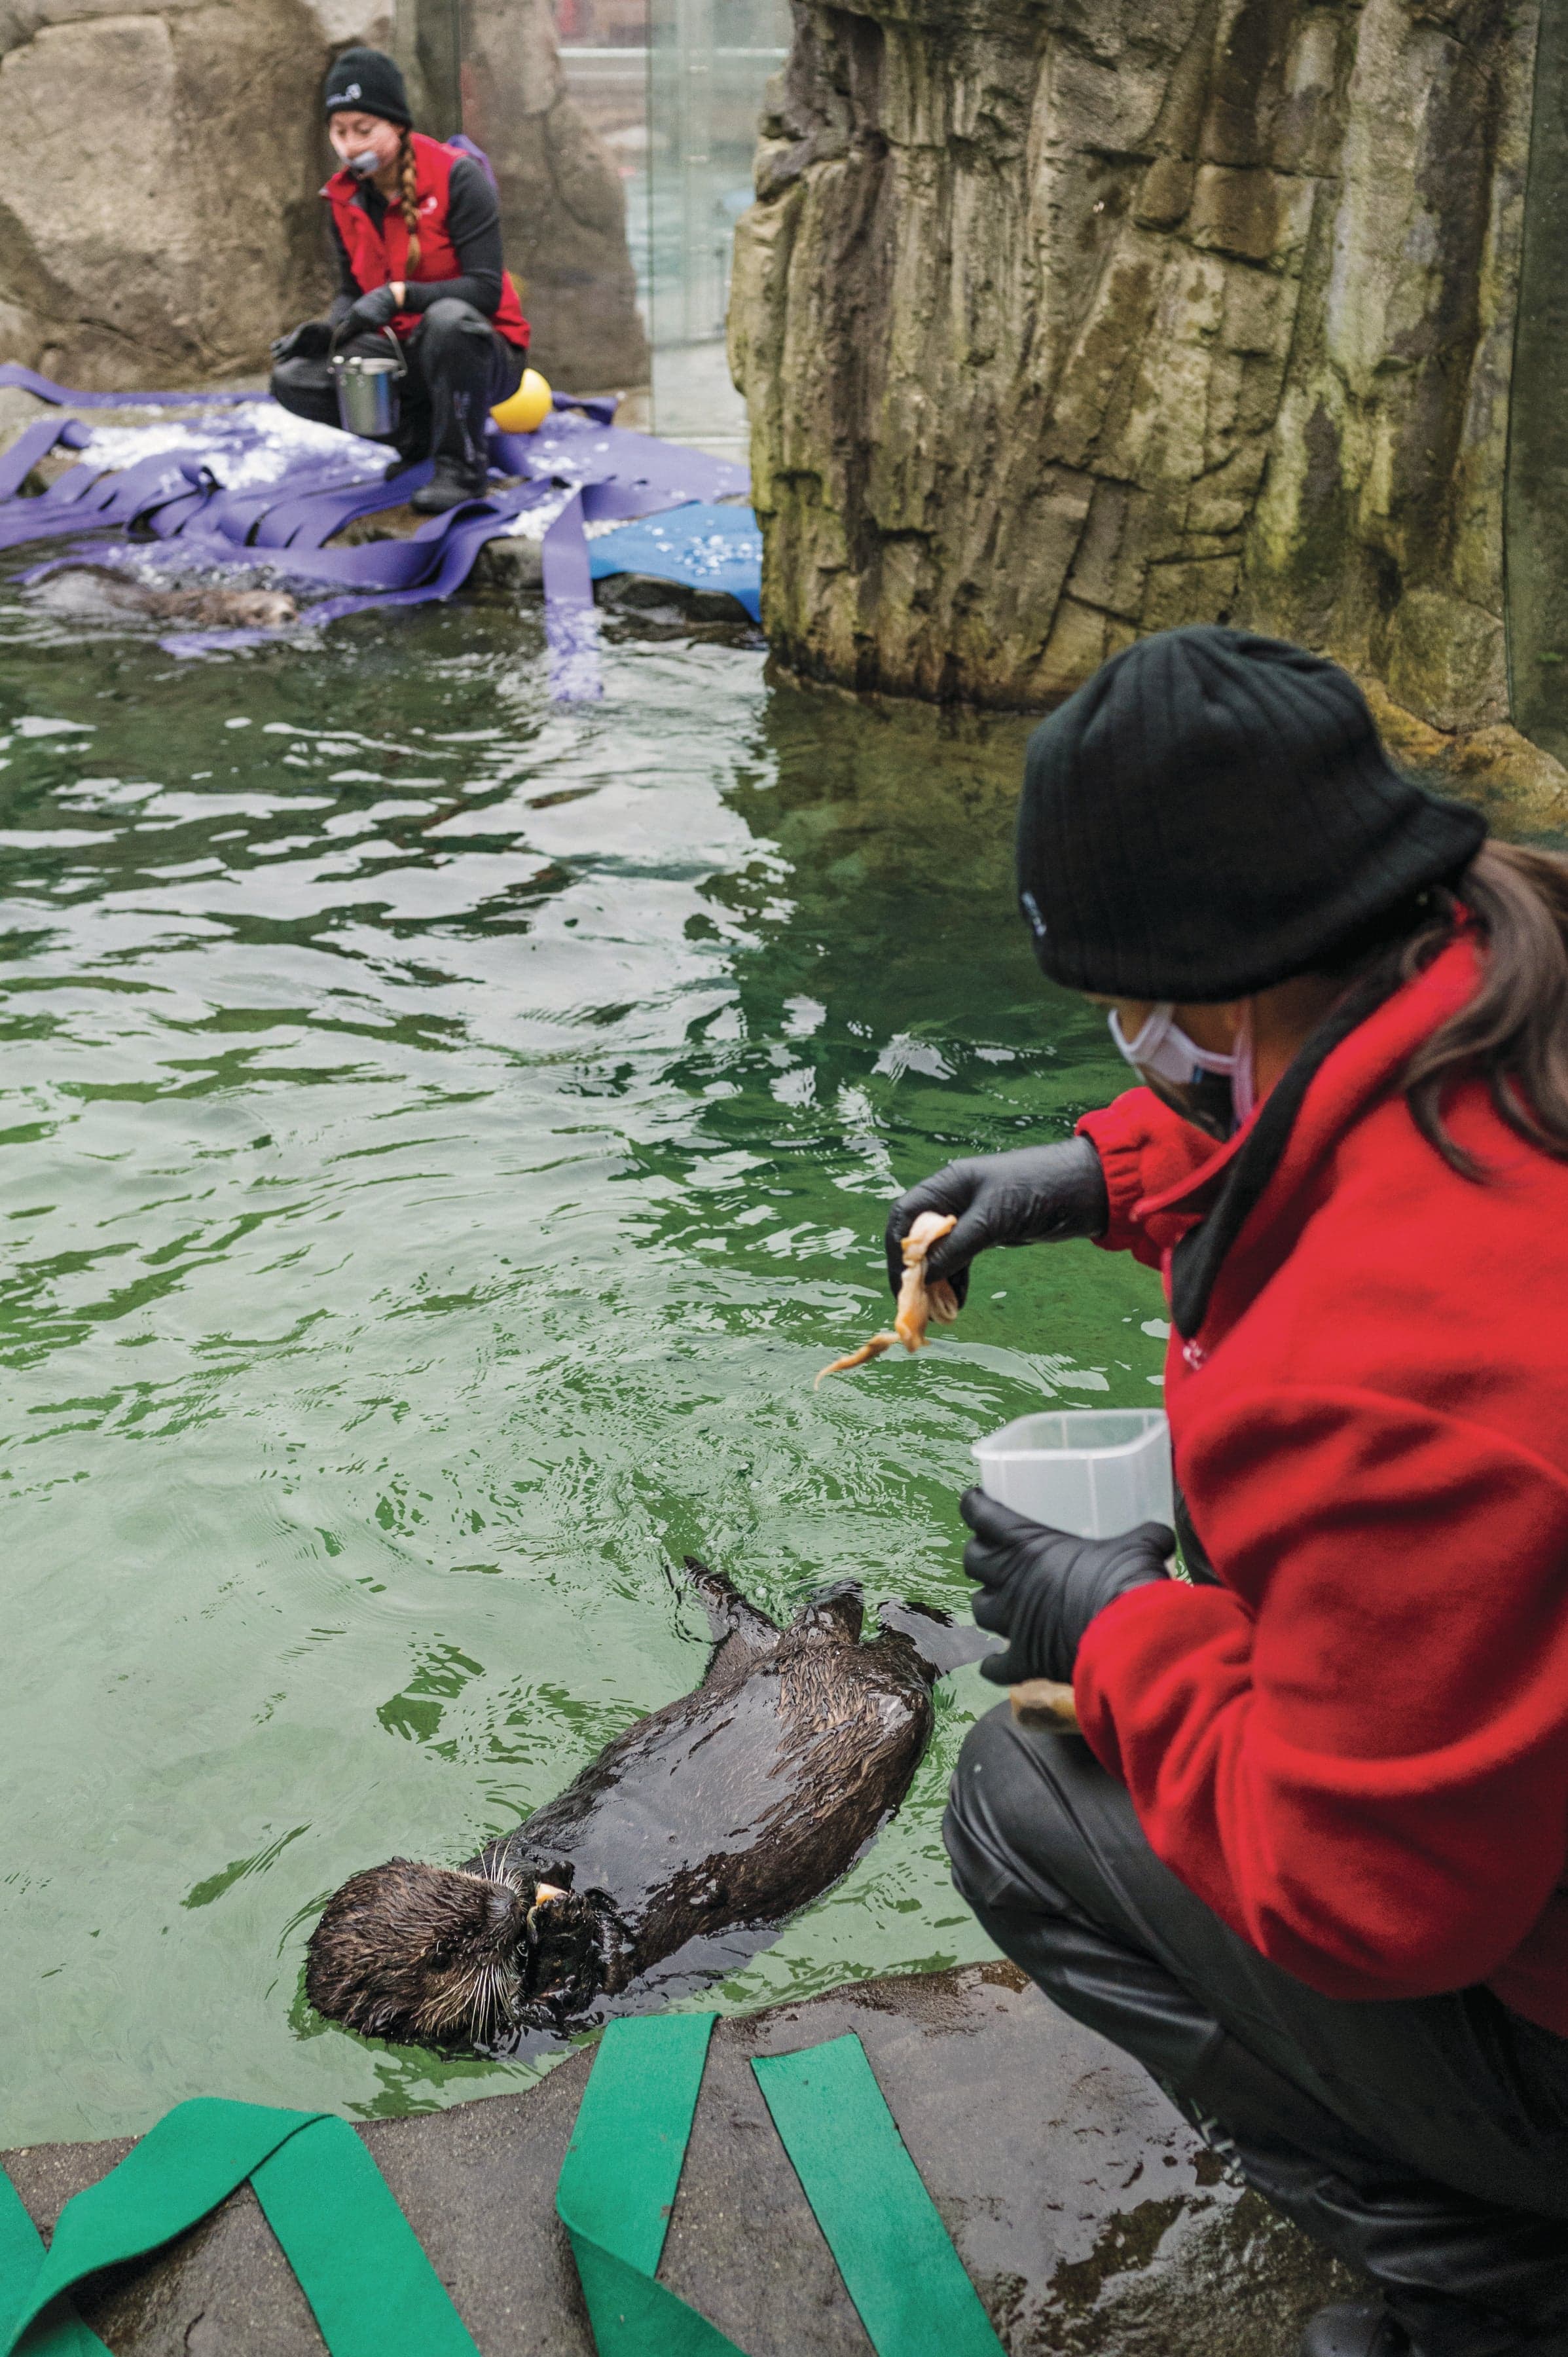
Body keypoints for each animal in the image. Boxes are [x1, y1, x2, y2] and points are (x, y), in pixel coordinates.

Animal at [306, 1560, 989, 2051]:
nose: (509, 1906)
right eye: (448, 1953)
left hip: (756, 1660)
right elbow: (582, 1979)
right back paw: (928, 1623)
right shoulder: (536, 2025)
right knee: (905, 1659)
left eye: (464, 1886)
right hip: (888, 1704)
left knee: (811, 1622)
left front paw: (541, 1874)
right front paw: (563, 1923)